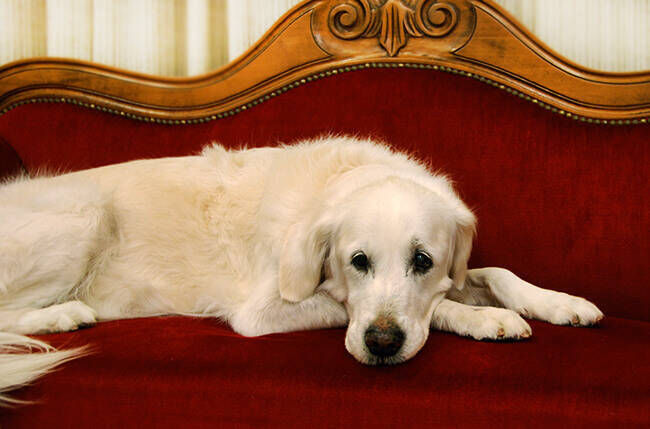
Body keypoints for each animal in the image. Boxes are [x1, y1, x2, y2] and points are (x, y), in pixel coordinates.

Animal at [0, 136, 600, 402]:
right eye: (358, 261)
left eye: (422, 260)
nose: (382, 344)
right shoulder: (260, 313)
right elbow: (406, 305)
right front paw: (482, 320)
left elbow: (494, 273)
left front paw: (560, 303)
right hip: (84, 213)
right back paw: (62, 316)